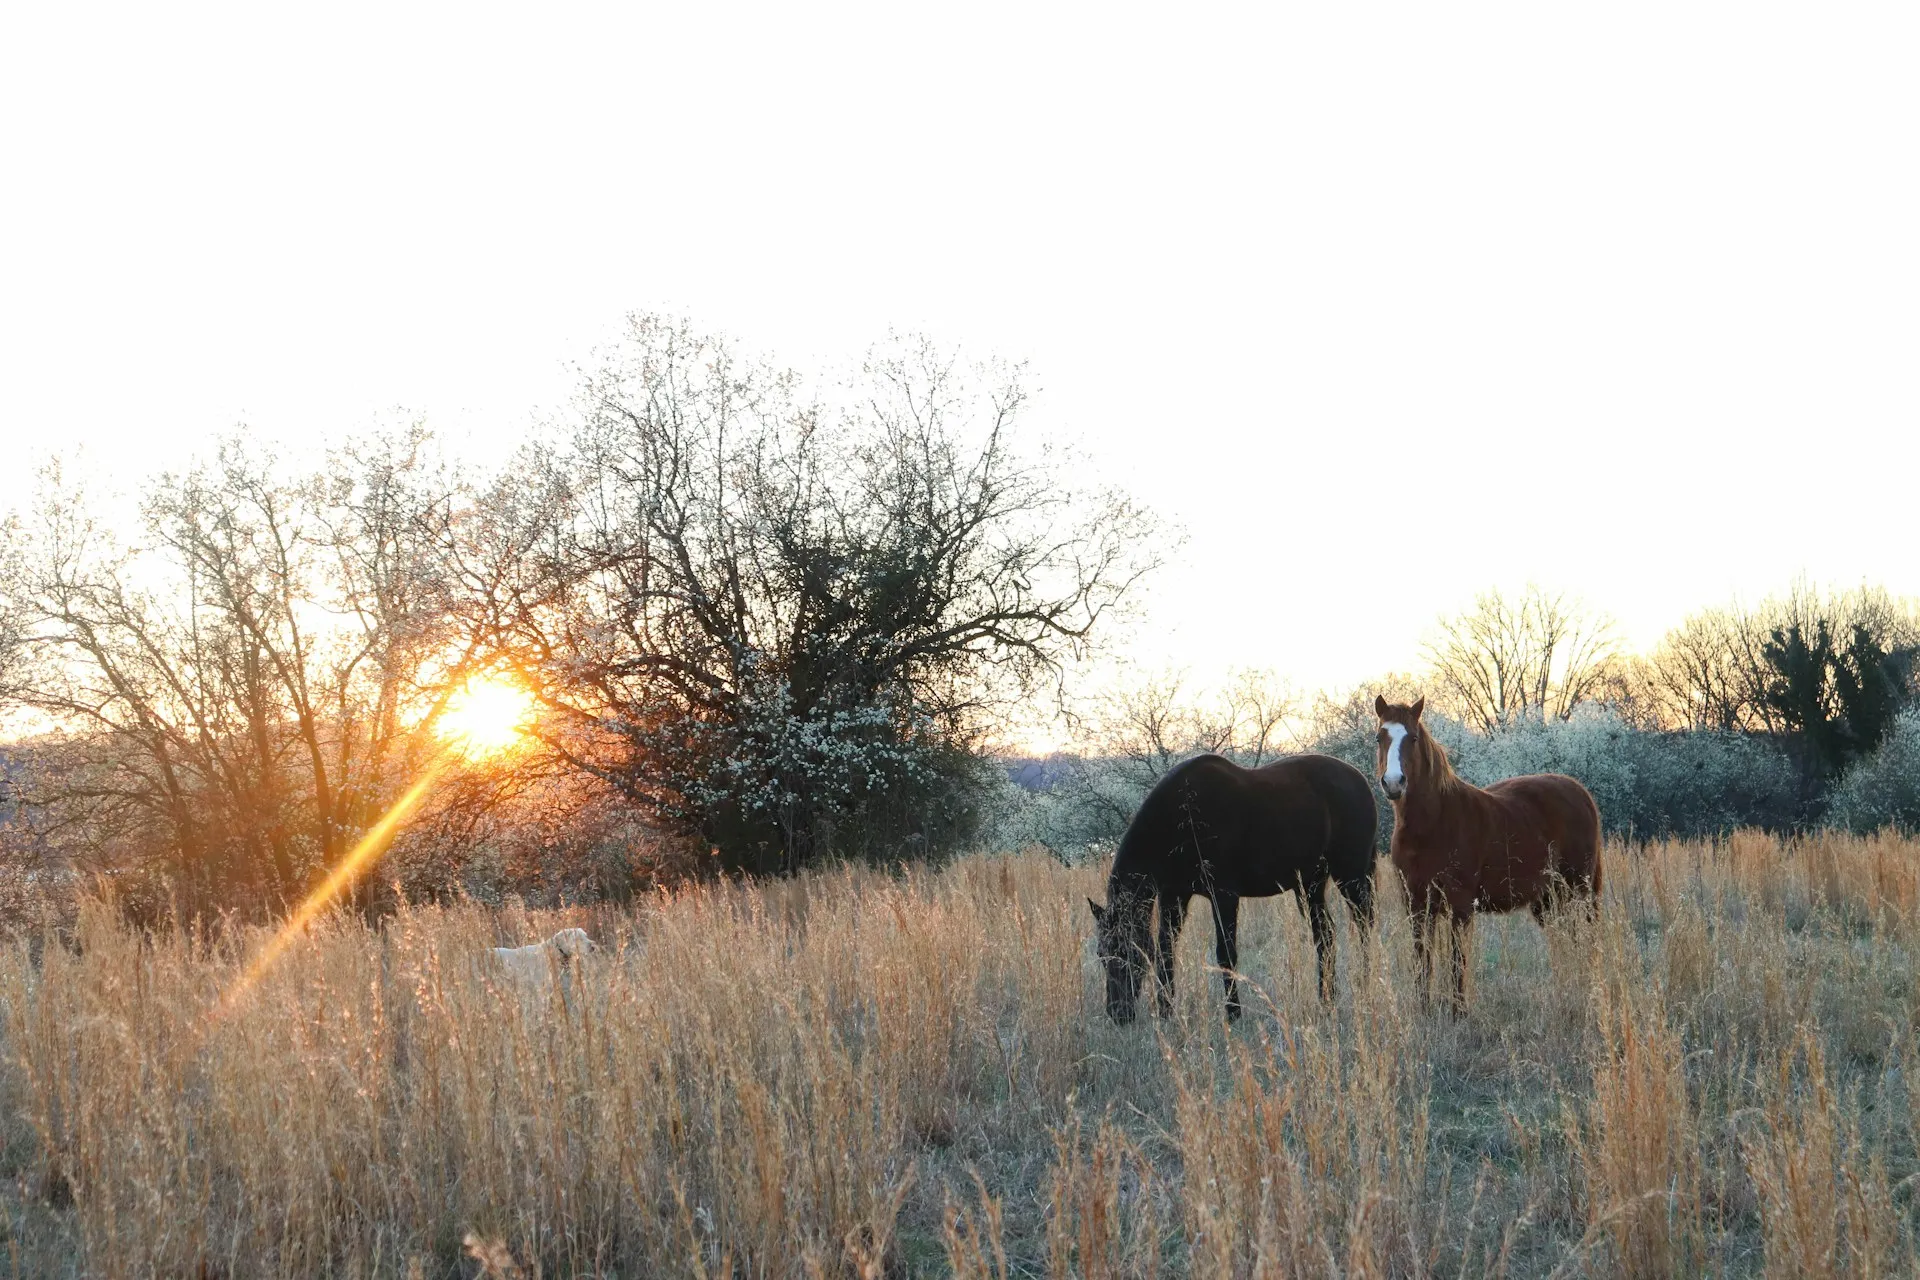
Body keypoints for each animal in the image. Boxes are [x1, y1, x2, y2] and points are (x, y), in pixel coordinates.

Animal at [1087, 752, 1379, 1023]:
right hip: (1310, 886)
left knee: (1364, 924)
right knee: (1325, 936)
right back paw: (1326, 999)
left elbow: (1225, 954)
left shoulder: (1224, 896)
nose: (1118, 1013)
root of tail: (1361, 780)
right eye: (1102, 953)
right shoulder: (1174, 896)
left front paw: (1233, 1013)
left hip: (1350, 876)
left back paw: (1365, 982)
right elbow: (1165, 950)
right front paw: (1166, 1011)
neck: (1184, 814)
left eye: (1128, 952)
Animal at [1373, 695, 1601, 1010]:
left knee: (1587, 935)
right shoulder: (1416, 904)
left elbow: (1457, 961)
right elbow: (1422, 960)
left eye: (1414, 738)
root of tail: (1581, 793)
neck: (1433, 824)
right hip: (1548, 899)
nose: (1394, 782)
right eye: (1379, 737)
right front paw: (1424, 1008)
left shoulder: (1460, 906)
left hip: (1580, 888)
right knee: (1568, 937)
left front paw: (1458, 1011)